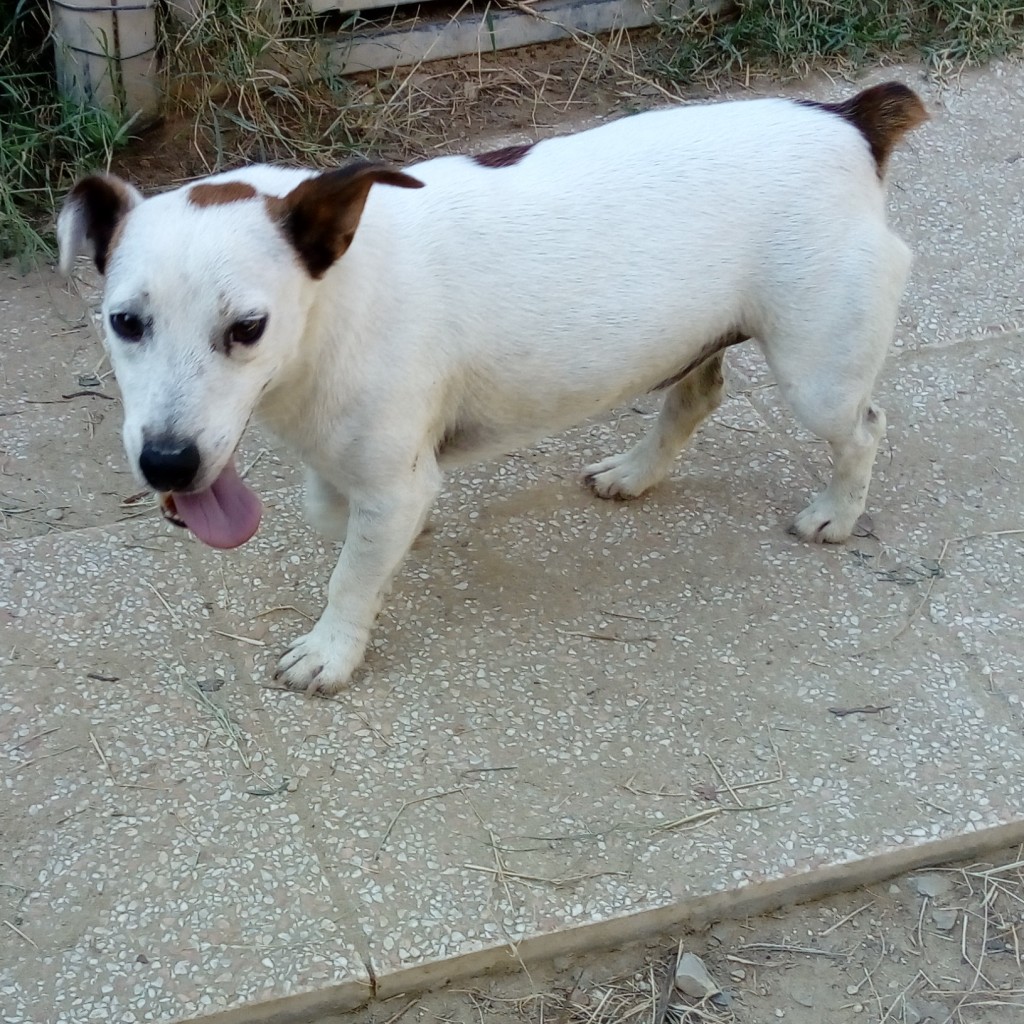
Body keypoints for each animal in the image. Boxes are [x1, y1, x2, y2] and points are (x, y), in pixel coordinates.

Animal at [59, 83, 933, 696]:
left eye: (247, 328)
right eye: (125, 322)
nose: (168, 464)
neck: (335, 298)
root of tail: (849, 120)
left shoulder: (391, 477)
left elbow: (351, 573)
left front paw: (334, 649)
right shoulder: (360, 461)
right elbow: (334, 515)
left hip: (819, 373)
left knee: (864, 428)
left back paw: (836, 512)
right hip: (693, 341)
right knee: (695, 397)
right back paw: (635, 472)